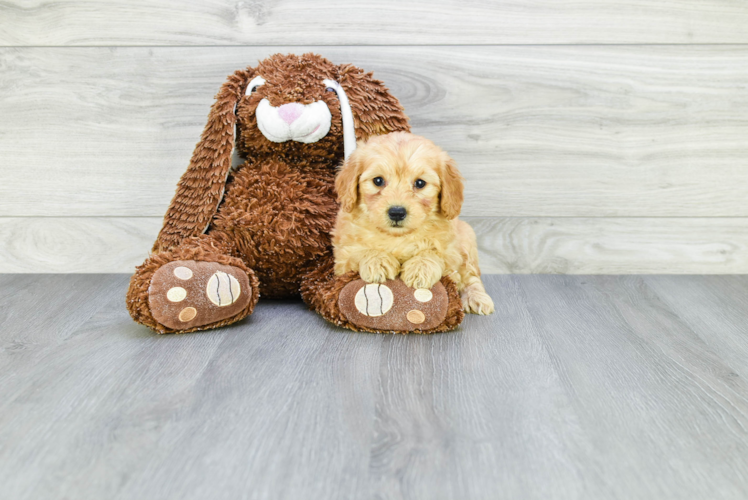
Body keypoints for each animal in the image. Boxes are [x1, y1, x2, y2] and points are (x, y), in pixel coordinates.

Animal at [334, 131, 496, 314]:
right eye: (378, 181)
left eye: (420, 183)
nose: (397, 212)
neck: (398, 237)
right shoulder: (342, 256)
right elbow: (359, 252)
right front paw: (378, 261)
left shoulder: (451, 252)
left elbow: (434, 253)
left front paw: (420, 269)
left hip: (467, 238)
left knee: (471, 276)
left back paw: (477, 298)